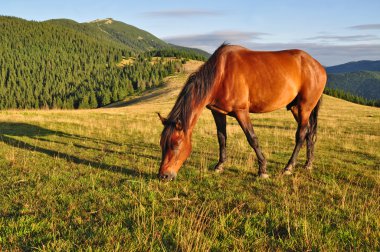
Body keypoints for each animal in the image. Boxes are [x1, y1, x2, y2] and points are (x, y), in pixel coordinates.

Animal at [157, 43, 326, 181]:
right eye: (162, 143)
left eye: (176, 145)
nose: (163, 176)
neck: (221, 74)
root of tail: (317, 66)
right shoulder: (218, 112)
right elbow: (222, 138)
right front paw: (220, 165)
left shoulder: (241, 112)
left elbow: (252, 138)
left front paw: (262, 169)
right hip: (296, 108)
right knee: (309, 132)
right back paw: (308, 164)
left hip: (305, 107)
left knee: (301, 134)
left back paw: (289, 167)